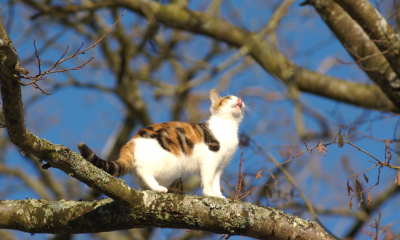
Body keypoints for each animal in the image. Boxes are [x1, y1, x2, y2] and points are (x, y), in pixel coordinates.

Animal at [78, 89, 244, 198]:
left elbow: (215, 181)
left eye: (238, 98)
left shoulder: (220, 165)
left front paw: (219, 196)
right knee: (144, 170)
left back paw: (155, 189)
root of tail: (130, 142)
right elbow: (208, 179)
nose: (240, 100)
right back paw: (159, 189)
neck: (229, 125)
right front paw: (209, 194)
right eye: (229, 97)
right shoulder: (211, 158)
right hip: (167, 162)